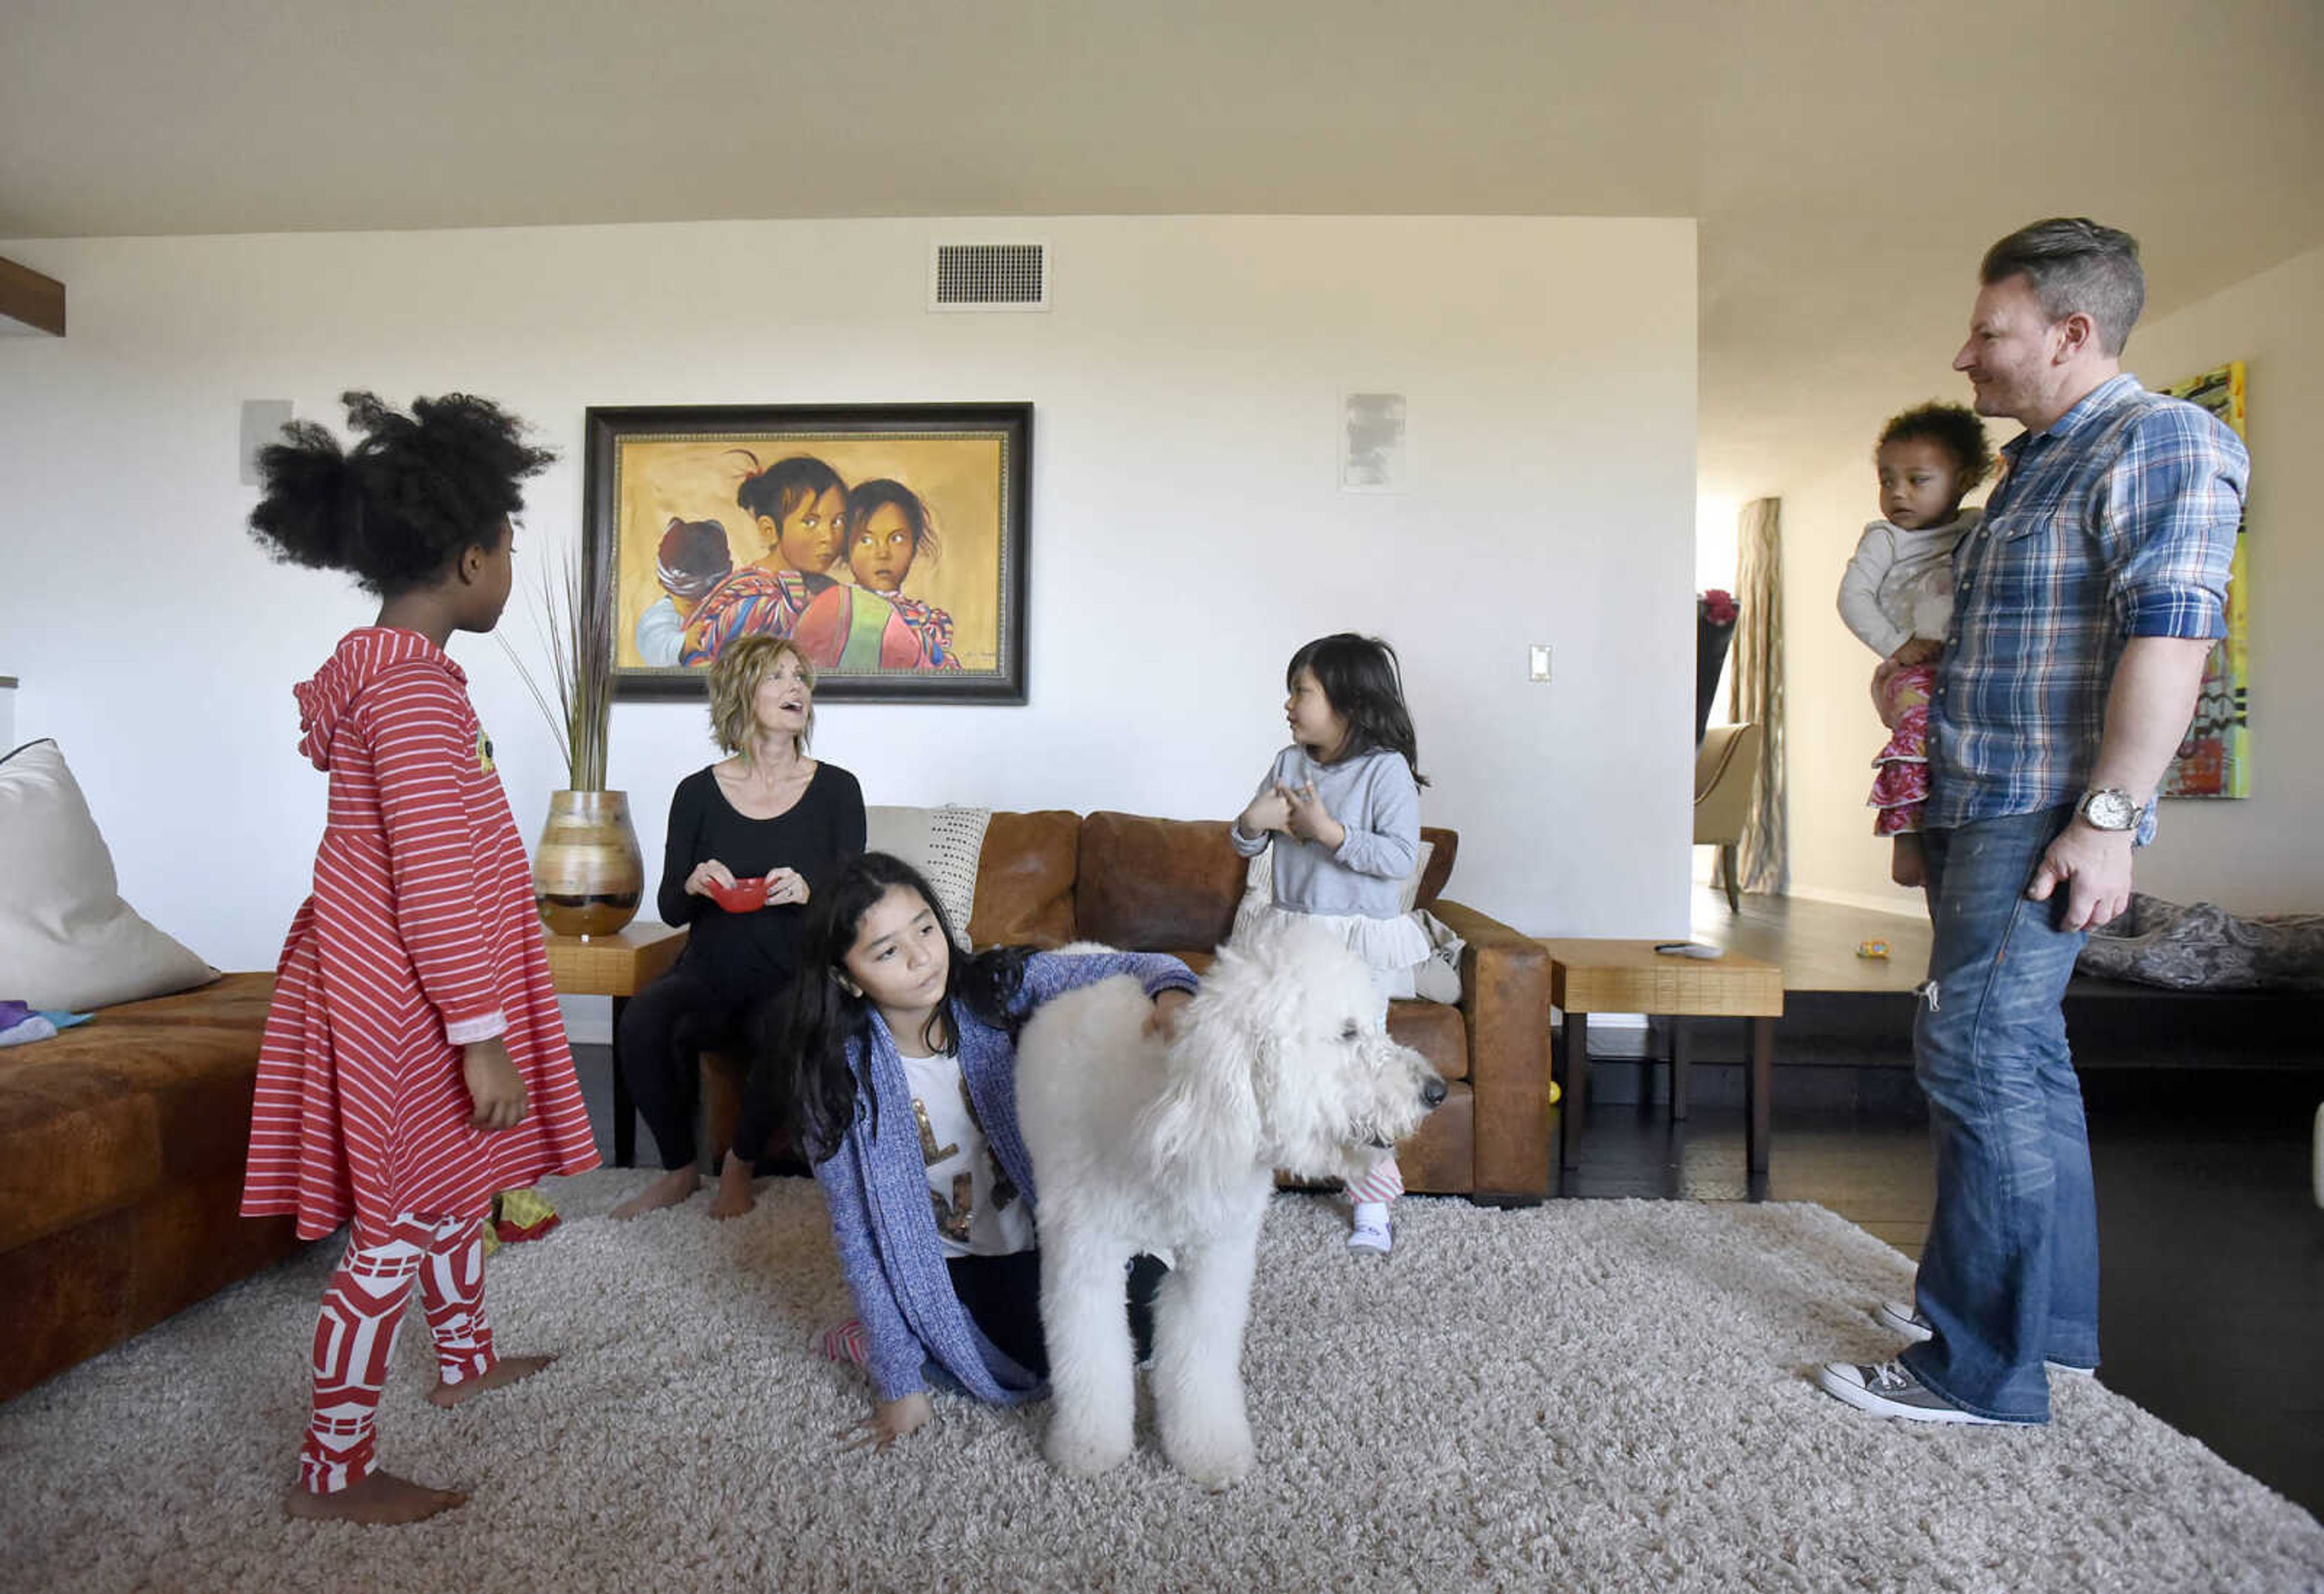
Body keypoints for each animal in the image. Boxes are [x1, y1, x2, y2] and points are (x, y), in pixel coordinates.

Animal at [1013, 920, 1431, 1496]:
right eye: (1348, 1033)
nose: (1436, 1090)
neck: (1168, 1125)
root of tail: (1079, 948)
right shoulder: (1084, 1261)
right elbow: (1090, 1357)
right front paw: (1089, 1449)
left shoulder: (1212, 1262)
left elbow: (1201, 1361)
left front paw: (1208, 1451)